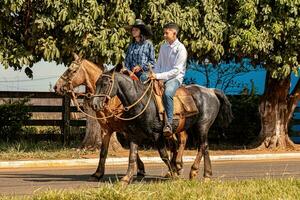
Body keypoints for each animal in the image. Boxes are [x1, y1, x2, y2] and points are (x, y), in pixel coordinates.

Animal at [53, 54, 188, 180]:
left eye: (72, 70)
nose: (56, 87)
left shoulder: (127, 129)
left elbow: (133, 150)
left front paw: (140, 169)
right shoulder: (107, 129)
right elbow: (104, 152)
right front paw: (98, 173)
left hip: (178, 128)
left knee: (182, 140)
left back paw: (178, 165)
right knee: (174, 144)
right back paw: (174, 168)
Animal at [92, 72, 233, 183]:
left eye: (105, 84)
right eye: (96, 83)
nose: (94, 104)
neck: (141, 102)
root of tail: (211, 91)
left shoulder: (157, 135)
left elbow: (164, 155)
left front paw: (174, 174)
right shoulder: (133, 135)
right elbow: (132, 156)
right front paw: (126, 178)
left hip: (202, 126)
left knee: (201, 146)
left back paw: (193, 171)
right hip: (194, 127)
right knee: (204, 147)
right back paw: (206, 174)